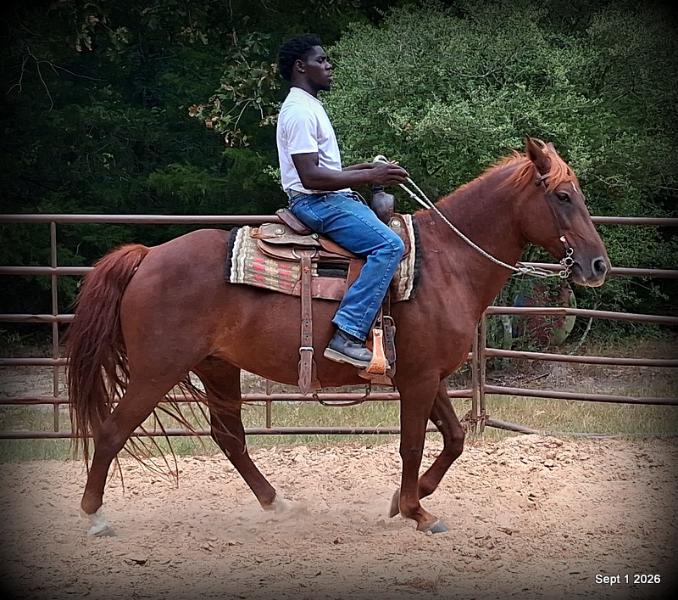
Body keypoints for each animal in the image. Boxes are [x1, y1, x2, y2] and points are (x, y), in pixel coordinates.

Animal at [66, 138, 610, 536]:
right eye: (563, 196)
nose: (597, 265)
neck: (446, 263)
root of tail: (148, 257)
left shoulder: (428, 376)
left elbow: (454, 439)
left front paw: (402, 501)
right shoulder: (417, 380)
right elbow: (412, 444)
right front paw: (416, 513)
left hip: (216, 366)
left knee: (229, 437)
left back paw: (277, 503)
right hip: (157, 369)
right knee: (113, 431)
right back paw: (95, 516)